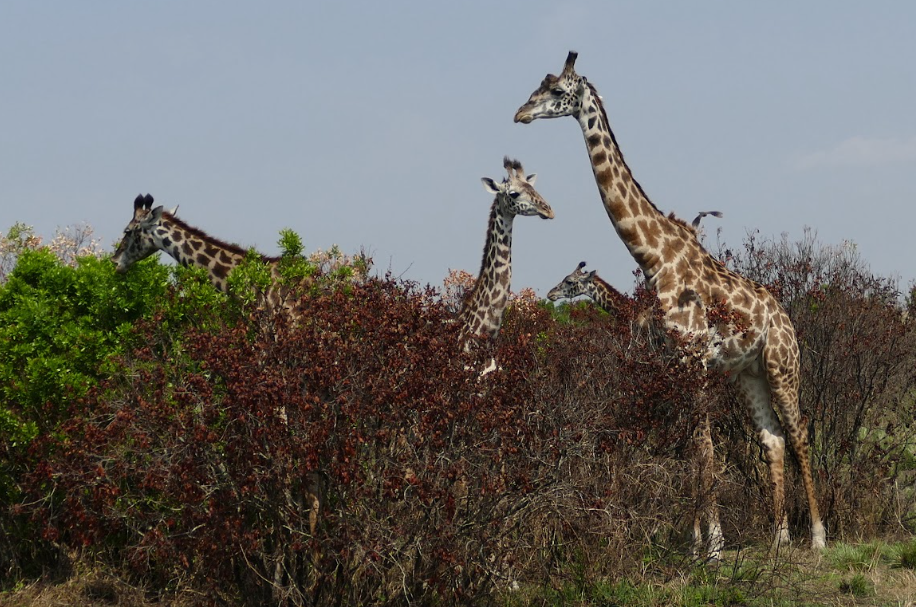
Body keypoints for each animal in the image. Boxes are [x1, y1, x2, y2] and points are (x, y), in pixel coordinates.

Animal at [515, 52, 826, 552]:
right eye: (538, 86)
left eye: (557, 91)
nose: (521, 113)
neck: (653, 257)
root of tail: (787, 319)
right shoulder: (673, 363)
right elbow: (690, 447)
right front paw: (696, 541)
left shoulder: (693, 356)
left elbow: (703, 446)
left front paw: (714, 545)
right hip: (749, 373)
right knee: (773, 438)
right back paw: (778, 539)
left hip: (783, 366)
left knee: (798, 435)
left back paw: (817, 537)